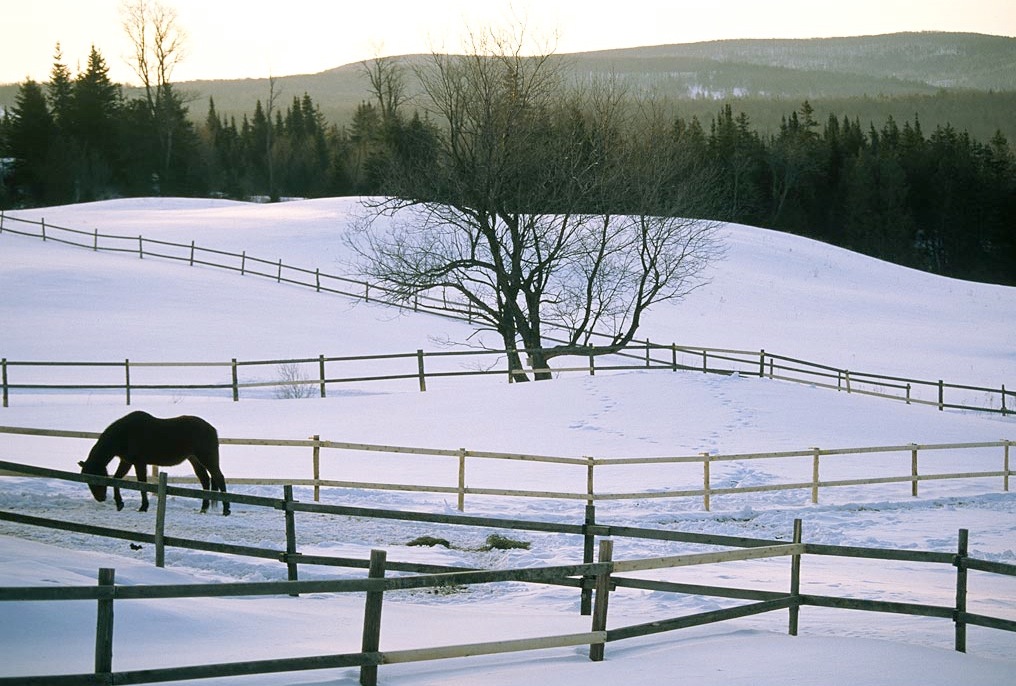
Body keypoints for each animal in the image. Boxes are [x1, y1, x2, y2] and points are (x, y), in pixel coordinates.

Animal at [78, 408, 230, 516]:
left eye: (96, 477)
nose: (101, 498)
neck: (125, 434)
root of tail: (212, 429)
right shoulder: (126, 461)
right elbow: (116, 479)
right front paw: (120, 503)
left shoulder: (139, 463)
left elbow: (142, 484)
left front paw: (143, 507)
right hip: (194, 459)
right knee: (204, 480)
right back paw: (203, 508)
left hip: (207, 458)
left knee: (219, 477)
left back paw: (226, 510)